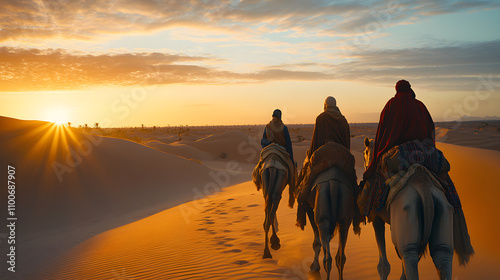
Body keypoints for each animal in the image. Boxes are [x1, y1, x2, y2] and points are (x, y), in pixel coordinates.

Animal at [362, 138, 456, 280]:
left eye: (364, 153)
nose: (366, 166)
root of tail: (423, 186)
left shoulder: (377, 218)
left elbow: (383, 265)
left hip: (406, 211)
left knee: (408, 254)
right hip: (443, 209)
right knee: (442, 254)